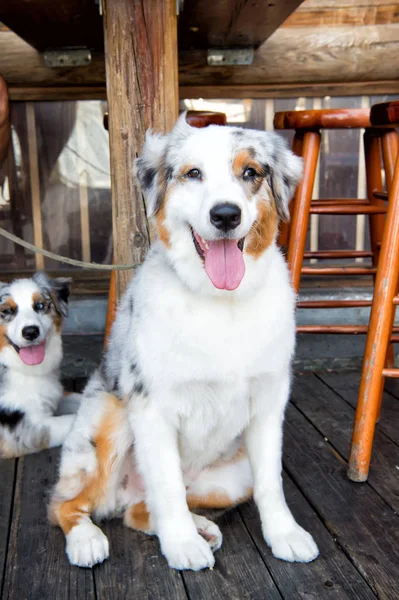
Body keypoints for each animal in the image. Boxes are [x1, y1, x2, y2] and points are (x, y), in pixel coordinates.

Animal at [0, 274, 80, 458]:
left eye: (40, 306)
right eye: (7, 311)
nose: (30, 332)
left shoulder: (52, 395)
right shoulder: (21, 433)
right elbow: (74, 419)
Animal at [50, 115, 318, 568]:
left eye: (251, 173)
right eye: (193, 174)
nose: (226, 215)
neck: (221, 304)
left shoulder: (268, 404)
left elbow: (272, 482)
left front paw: (285, 534)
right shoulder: (152, 407)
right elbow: (168, 485)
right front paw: (181, 545)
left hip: (231, 478)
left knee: (139, 511)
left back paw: (202, 527)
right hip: (109, 421)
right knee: (66, 504)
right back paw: (88, 540)